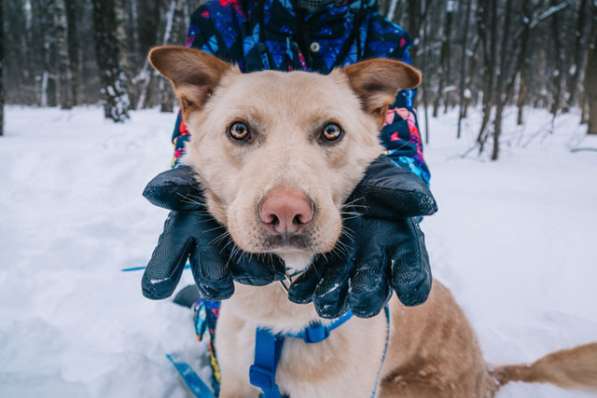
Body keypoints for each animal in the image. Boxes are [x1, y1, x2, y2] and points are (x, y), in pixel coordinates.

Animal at [150, 46, 597, 398]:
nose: (287, 212)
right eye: (239, 130)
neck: (279, 323)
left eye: (331, 131)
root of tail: (487, 374)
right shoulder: (237, 383)